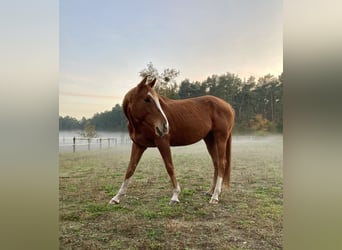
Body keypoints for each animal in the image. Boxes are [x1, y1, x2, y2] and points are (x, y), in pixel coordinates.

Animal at [109, 76, 235, 205]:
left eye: (157, 100)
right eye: (147, 99)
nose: (165, 126)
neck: (140, 125)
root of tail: (228, 106)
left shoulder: (163, 143)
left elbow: (169, 166)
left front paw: (175, 196)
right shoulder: (138, 145)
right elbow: (130, 169)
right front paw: (116, 197)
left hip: (220, 138)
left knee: (222, 163)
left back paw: (215, 196)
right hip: (209, 139)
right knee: (216, 163)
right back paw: (211, 191)